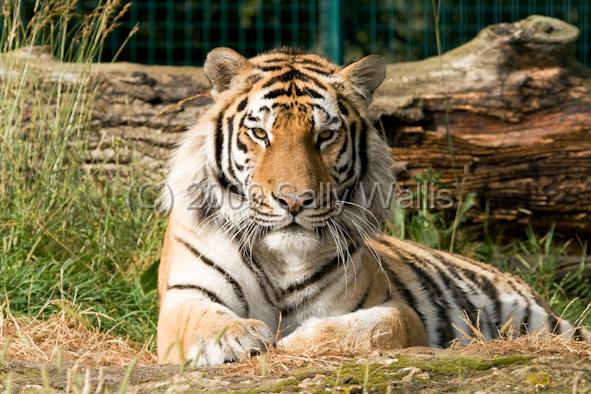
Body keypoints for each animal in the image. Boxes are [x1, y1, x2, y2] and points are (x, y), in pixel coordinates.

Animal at [156, 47, 588, 366]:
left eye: (325, 135)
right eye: (260, 133)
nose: (294, 200)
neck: (281, 260)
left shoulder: (394, 308)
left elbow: (372, 329)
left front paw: (294, 341)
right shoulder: (185, 295)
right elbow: (202, 321)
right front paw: (242, 337)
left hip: (542, 322)